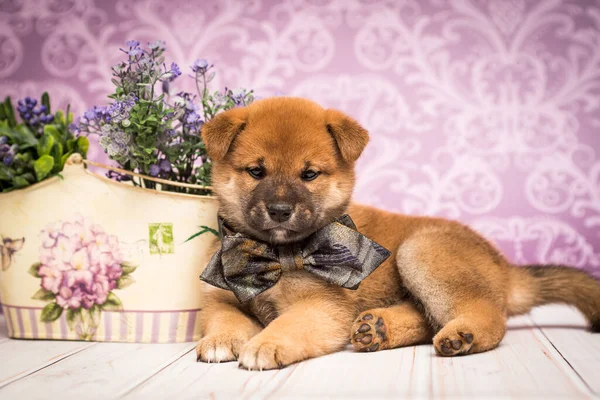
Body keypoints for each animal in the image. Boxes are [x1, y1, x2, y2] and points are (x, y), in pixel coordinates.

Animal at [195, 96, 596, 368]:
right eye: (256, 171)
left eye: (309, 174)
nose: (280, 211)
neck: (274, 256)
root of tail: (504, 267)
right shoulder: (219, 297)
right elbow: (224, 317)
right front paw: (221, 339)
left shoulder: (322, 306)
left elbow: (290, 323)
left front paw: (266, 343)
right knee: (427, 317)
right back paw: (379, 327)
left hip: (421, 250)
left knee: (486, 315)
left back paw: (461, 336)